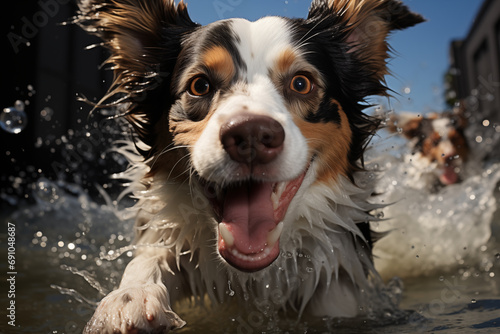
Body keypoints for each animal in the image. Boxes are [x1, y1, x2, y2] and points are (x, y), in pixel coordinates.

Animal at [76, 0, 424, 332]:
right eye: (200, 85)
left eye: (301, 83)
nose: (252, 135)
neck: (256, 276)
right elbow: (151, 256)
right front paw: (131, 297)